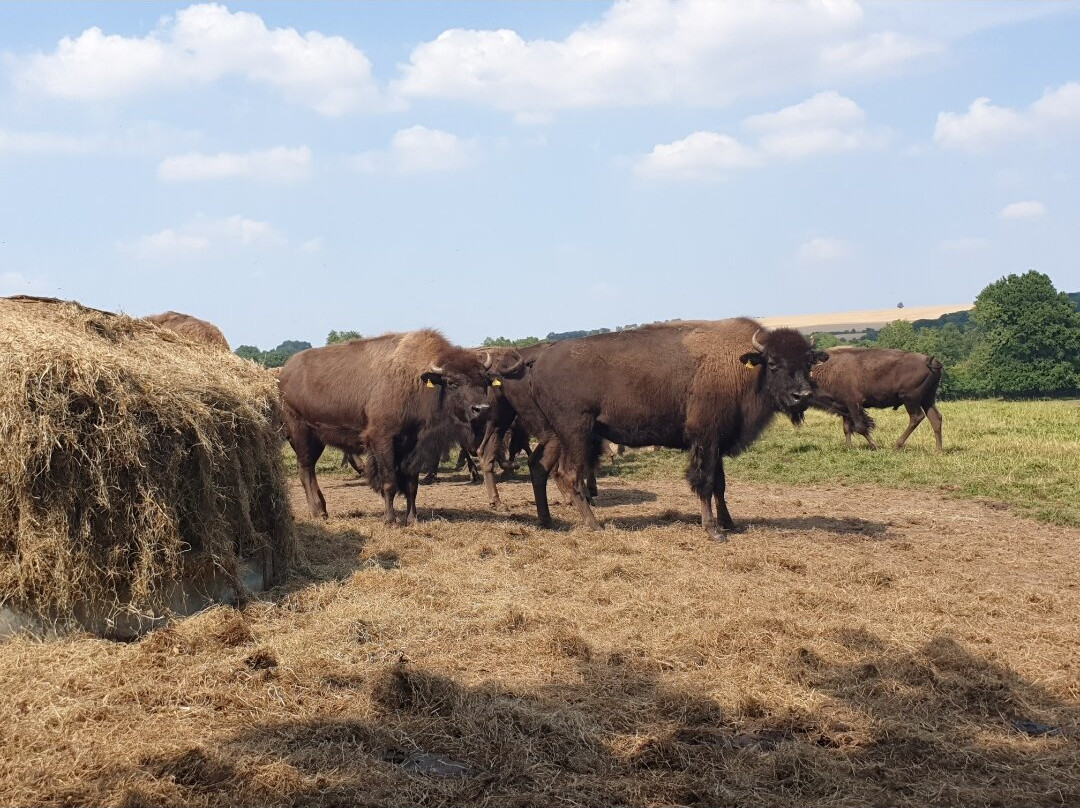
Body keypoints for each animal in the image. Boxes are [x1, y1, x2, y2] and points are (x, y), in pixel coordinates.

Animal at [276, 328, 516, 524]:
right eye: (451, 382)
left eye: (484, 380)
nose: (481, 409)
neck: (417, 381)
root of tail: (284, 372)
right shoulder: (383, 440)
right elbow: (389, 481)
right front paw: (390, 520)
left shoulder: (413, 446)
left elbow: (411, 484)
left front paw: (412, 519)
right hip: (301, 433)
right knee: (306, 470)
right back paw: (317, 513)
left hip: (317, 439)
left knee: (309, 469)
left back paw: (324, 510)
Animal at [488, 319, 825, 540]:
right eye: (774, 362)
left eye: (809, 361)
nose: (802, 395)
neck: (739, 365)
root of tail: (539, 359)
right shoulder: (705, 439)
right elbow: (705, 483)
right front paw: (713, 531)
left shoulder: (717, 441)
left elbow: (720, 484)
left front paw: (729, 523)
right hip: (577, 432)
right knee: (567, 474)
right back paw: (595, 526)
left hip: (555, 435)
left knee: (540, 467)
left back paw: (547, 521)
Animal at [807, 345, 941, 451]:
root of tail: (930, 361)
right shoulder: (844, 407)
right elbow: (846, 428)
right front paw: (849, 448)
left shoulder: (853, 404)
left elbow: (860, 427)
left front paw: (874, 445)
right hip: (928, 399)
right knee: (936, 418)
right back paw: (938, 450)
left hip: (910, 399)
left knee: (917, 417)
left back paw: (896, 445)